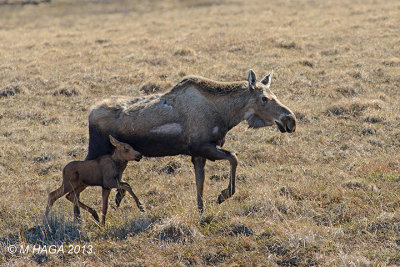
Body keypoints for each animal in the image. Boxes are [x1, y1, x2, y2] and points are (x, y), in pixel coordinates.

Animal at [86, 70, 296, 213]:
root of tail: (90, 113)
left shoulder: (198, 154)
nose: (290, 120)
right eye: (264, 98)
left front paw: (201, 210)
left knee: (114, 181)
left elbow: (200, 182)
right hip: (96, 149)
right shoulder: (202, 146)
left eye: (275, 95)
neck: (227, 115)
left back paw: (118, 201)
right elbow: (234, 158)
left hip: (119, 157)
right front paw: (223, 195)